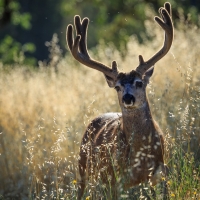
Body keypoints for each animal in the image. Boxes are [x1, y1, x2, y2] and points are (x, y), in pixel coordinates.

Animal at [66, 1, 173, 200]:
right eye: (117, 87)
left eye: (139, 82)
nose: (128, 98)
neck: (141, 155)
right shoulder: (114, 178)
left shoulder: (160, 173)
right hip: (83, 165)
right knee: (82, 190)